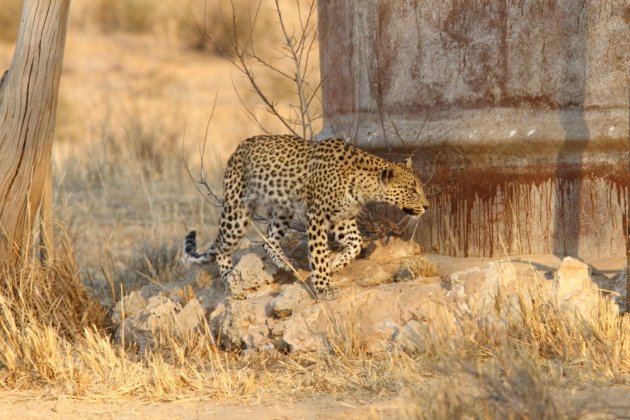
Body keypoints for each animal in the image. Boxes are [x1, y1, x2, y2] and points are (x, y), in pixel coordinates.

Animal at [181, 135, 430, 298]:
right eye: (412, 190)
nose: (427, 207)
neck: (364, 187)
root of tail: (238, 148)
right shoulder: (317, 215)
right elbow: (318, 252)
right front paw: (324, 285)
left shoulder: (342, 219)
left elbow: (356, 243)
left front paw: (335, 263)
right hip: (237, 212)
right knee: (223, 246)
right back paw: (229, 277)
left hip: (283, 208)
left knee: (267, 241)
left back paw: (286, 264)